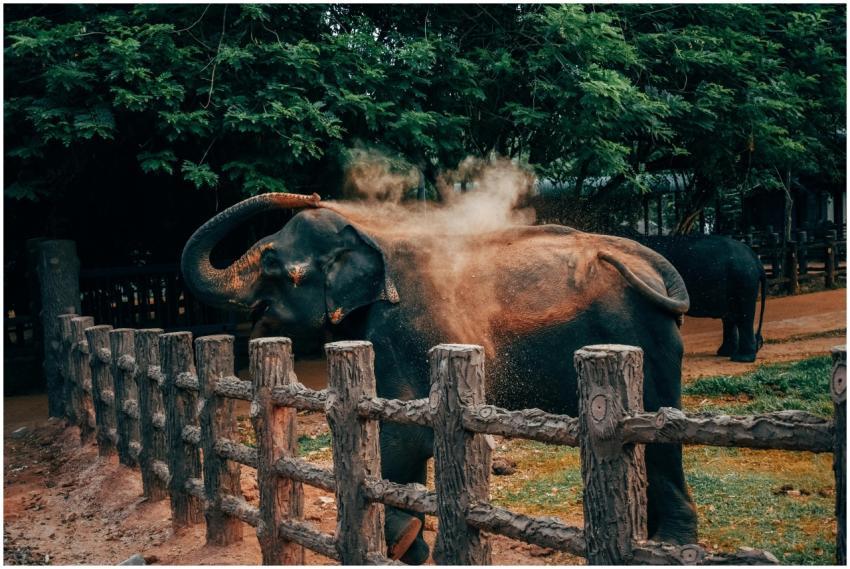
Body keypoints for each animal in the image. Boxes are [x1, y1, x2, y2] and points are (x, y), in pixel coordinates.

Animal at [181, 192, 698, 563]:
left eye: (271, 264)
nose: (309, 191)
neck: (370, 236)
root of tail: (653, 260)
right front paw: (410, 546)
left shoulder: (405, 328)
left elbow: (406, 435)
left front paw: (400, 541)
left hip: (641, 336)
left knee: (657, 436)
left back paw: (670, 547)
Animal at [623, 233, 767, 363]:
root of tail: (757, 260)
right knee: (730, 317)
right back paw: (726, 353)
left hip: (743, 281)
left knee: (743, 315)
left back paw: (741, 359)